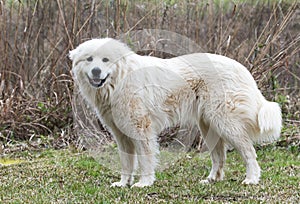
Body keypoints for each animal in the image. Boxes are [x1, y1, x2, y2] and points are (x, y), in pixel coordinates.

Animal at [69, 37, 282, 187]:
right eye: (89, 59)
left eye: (105, 60)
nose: (96, 71)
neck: (119, 80)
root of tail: (242, 68)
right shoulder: (122, 135)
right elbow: (127, 163)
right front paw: (123, 184)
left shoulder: (141, 130)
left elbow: (145, 160)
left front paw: (144, 183)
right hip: (209, 126)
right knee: (219, 157)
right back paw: (211, 180)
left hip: (225, 123)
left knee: (249, 152)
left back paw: (251, 179)